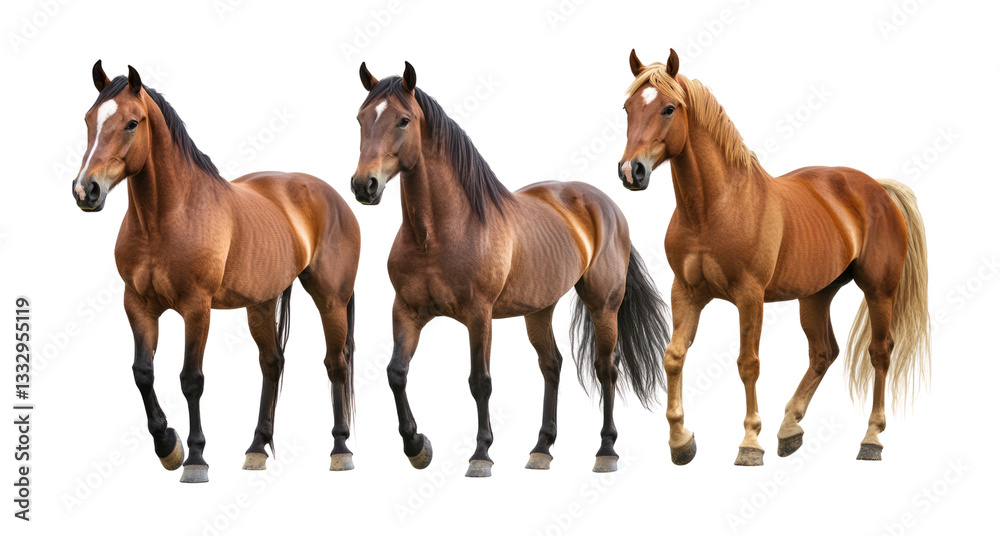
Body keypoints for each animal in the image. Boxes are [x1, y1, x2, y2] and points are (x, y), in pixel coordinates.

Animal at [71, 61, 361, 482]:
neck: (166, 218)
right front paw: (167, 445)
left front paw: (194, 458)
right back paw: (256, 448)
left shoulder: (197, 308)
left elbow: (191, 380)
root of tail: (335, 197)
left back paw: (341, 450)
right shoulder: (137, 304)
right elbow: (143, 373)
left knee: (336, 364)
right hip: (261, 305)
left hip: (331, 300)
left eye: (131, 123)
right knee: (272, 363)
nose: (85, 190)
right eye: (89, 119)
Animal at [350, 62, 670, 476]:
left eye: (403, 120)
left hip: (603, 306)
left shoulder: (479, 315)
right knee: (552, 365)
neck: (435, 234)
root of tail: (608, 206)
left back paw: (606, 451)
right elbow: (396, 373)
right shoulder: (407, 311)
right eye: (361, 119)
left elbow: (480, 381)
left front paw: (481, 454)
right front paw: (417, 446)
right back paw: (542, 449)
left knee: (606, 368)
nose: (364, 185)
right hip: (539, 310)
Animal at [617, 49, 930, 466]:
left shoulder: (749, 297)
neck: (712, 209)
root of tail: (878, 189)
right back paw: (789, 428)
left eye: (669, 108)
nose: (630, 170)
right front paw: (681, 440)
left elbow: (748, 364)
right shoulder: (686, 292)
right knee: (823, 352)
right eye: (628, 108)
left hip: (879, 291)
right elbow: (673, 356)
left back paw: (871, 438)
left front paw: (750, 442)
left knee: (879, 353)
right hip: (816, 295)